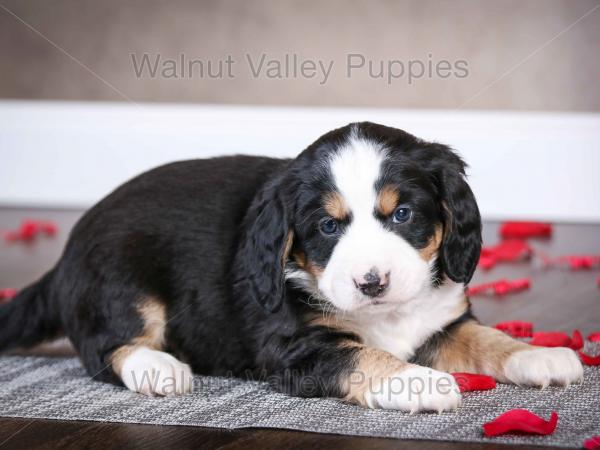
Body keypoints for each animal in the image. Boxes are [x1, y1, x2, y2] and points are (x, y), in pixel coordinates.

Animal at [0, 122, 580, 412]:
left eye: (403, 214)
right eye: (327, 226)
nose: (372, 283)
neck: (386, 316)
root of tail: (67, 251)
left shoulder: (442, 320)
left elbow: (487, 338)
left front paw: (540, 356)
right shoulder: (294, 346)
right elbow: (361, 356)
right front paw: (418, 382)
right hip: (121, 279)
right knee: (104, 347)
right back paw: (159, 368)